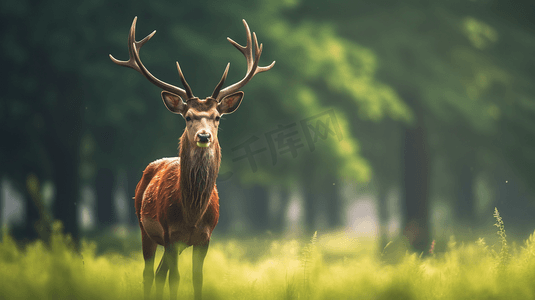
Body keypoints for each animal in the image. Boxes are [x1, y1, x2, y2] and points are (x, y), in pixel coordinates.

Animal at [109, 17, 276, 298]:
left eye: (217, 117)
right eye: (188, 117)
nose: (204, 136)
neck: (191, 215)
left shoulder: (204, 238)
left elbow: (197, 279)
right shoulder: (170, 234)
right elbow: (175, 279)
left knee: (159, 273)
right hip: (144, 228)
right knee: (149, 273)